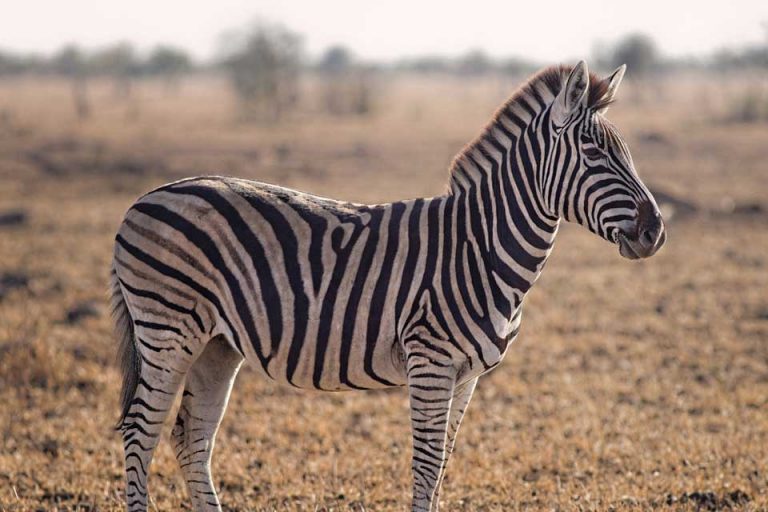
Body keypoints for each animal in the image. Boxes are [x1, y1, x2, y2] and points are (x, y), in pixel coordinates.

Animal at [110, 61, 665, 512]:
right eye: (594, 153)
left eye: (626, 153)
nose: (656, 231)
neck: (480, 246)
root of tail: (144, 198)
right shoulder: (431, 361)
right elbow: (426, 465)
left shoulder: (467, 376)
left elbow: (443, 464)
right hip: (168, 330)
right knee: (141, 432)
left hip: (216, 344)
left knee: (191, 437)